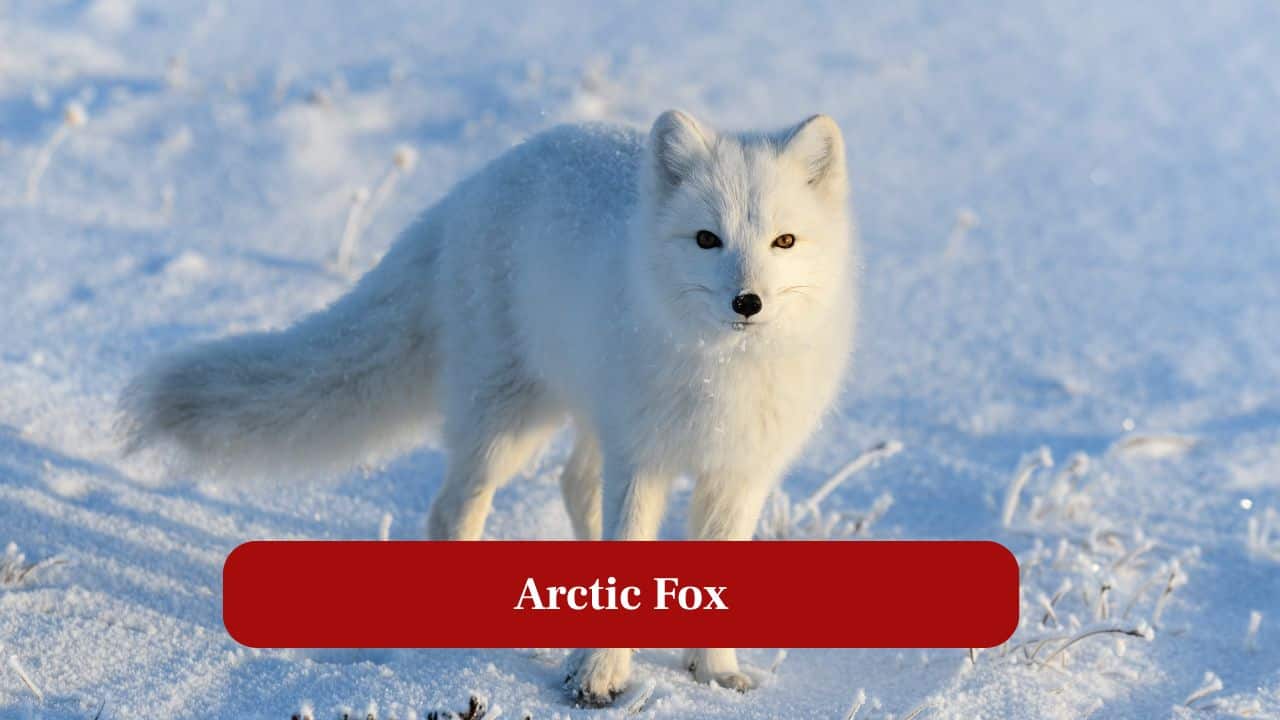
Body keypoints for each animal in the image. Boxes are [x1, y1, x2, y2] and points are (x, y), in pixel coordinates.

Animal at [119, 109, 858, 704]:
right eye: (707, 239)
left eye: (784, 242)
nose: (747, 302)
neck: (722, 376)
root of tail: (471, 188)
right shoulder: (642, 457)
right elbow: (627, 548)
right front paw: (599, 675)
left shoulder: (740, 471)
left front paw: (715, 672)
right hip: (507, 421)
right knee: (454, 509)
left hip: (582, 412)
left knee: (573, 484)